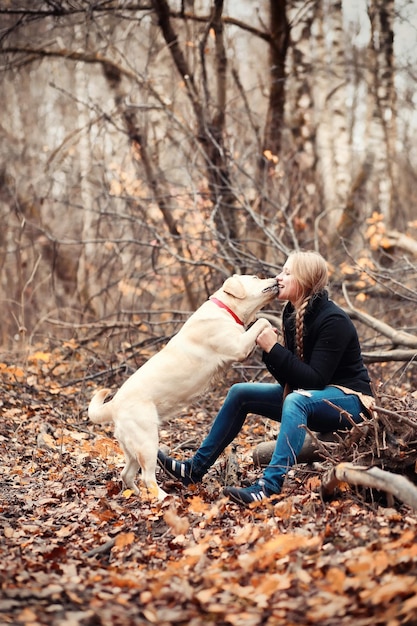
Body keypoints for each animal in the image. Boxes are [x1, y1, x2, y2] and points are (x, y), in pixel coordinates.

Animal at [87, 272, 276, 498]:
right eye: (256, 278)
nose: (276, 278)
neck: (226, 310)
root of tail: (114, 404)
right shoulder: (238, 346)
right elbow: (262, 320)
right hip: (148, 441)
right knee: (147, 477)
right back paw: (163, 498)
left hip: (133, 447)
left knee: (127, 474)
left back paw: (140, 495)